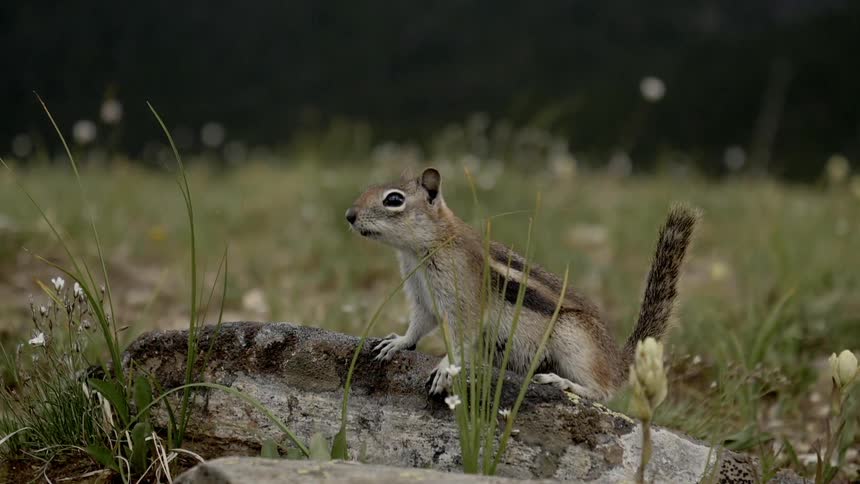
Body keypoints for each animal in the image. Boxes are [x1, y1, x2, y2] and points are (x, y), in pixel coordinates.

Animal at [345, 167, 698, 400]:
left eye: (393, 200)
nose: (349, 215)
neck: (424, 248)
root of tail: (617, 361)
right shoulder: (422, 297)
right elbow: (419, 325)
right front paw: (397, 342)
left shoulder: (463, 297)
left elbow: (462, 336)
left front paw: (446, 368)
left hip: (573, 337)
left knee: (603, 391)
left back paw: (563, 383)